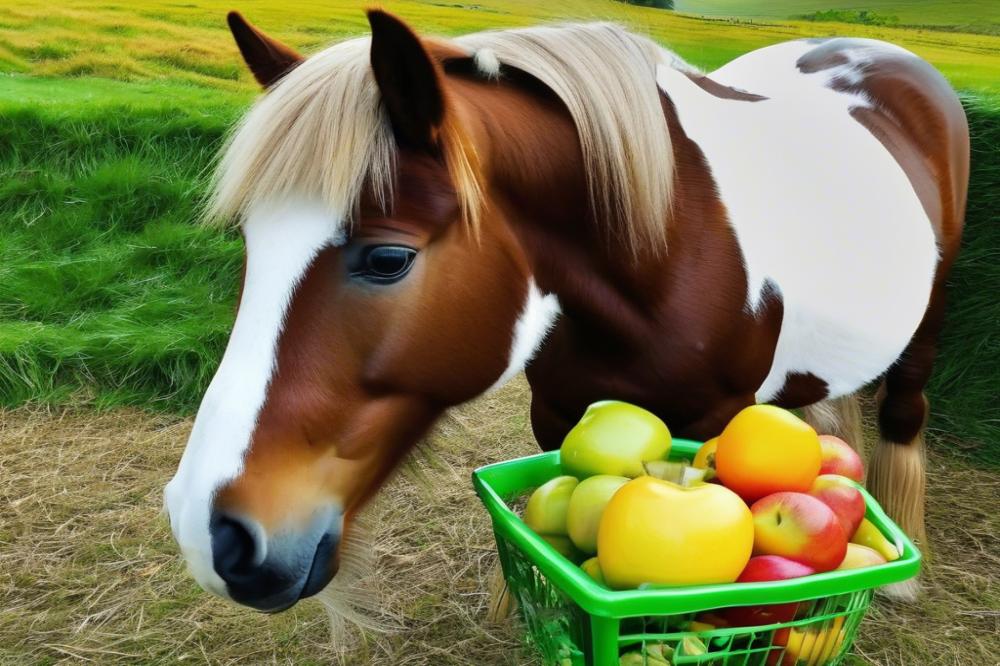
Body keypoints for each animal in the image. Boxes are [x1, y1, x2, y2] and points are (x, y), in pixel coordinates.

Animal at [164, 10, 968, 612]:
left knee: (903, 411)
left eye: (387, 259)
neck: (672, 246)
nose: (211, 533)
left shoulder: (717, 424)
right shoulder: (557, 410)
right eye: (252, 242)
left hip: (927, 328)